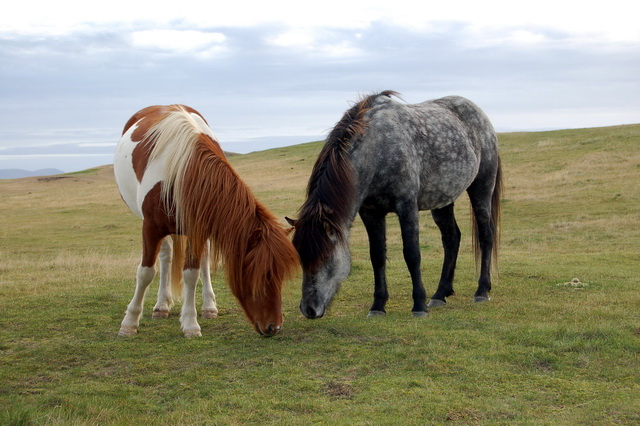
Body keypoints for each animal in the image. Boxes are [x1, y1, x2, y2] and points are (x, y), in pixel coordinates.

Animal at [114, 105, 299, 337]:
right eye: (263, 274)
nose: (274, 327)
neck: (180, 172)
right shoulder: (150, 227)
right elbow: (146, 272)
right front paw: (129, 322)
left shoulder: (197, 228)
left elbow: (192, 273)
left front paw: (190, 323)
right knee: (165, 257)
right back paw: (161, 305)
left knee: (203, 261)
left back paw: (208, 306)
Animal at [286, 91, 502, 319]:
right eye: (300, 256)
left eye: (326, 257)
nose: (309, 309)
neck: (378, 147)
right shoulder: (370, 213)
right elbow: (377, 257)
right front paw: (378, 305)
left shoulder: (406, 207)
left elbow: (412, 254)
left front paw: (419, 305)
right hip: (443, 199)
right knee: (451, 238)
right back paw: (440, 293)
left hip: (481, 187)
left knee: (486, 235)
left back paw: (481, 290)